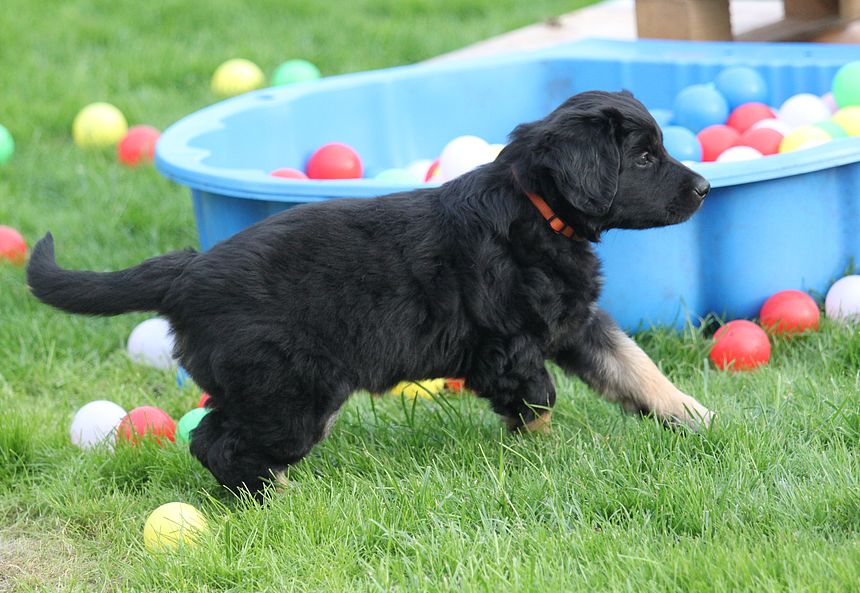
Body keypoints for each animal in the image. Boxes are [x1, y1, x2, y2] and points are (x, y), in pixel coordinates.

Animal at [27, 90, 713, 497]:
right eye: (645, 159)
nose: (705, 188)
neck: (535, 209)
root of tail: (188, 271)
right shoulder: (509, 348)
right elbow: (538, 402)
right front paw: (545, 458)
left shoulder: (575, 322)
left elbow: (636, 367)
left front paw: (695, 416)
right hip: (292, 393)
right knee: (219, 444)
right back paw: (273, 501)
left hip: (257, 389)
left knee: (215, 433)